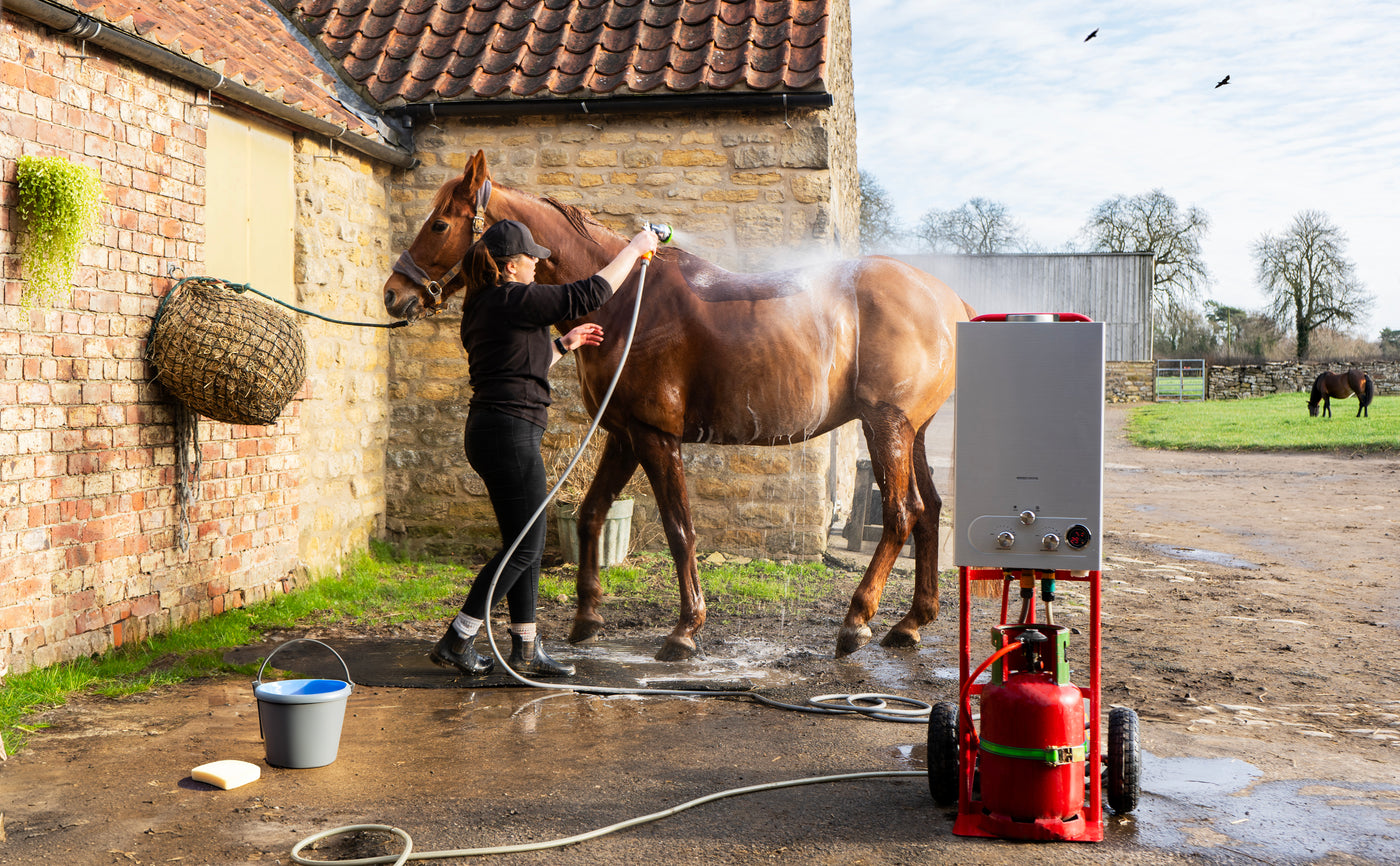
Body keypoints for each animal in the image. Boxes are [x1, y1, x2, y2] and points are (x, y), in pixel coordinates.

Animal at [383, 150, 973, 660]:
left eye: (440, 224)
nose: (393, 293)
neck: (625, 300)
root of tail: (949, 300)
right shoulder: (624, 435)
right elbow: (592, 513)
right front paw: (587, 618)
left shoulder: (655, 436)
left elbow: (679, 527)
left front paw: (685, 630)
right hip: (912, 433)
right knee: (929, 512)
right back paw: (911, 623)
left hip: (885, 426)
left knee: (901, 515)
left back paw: (856, 622)